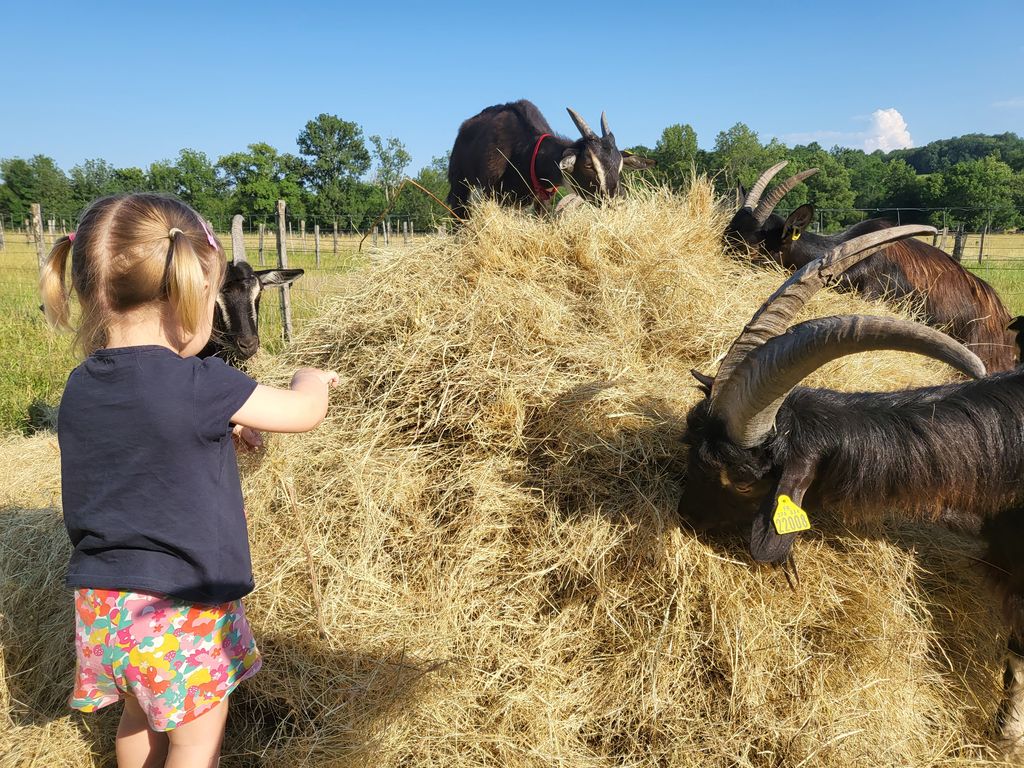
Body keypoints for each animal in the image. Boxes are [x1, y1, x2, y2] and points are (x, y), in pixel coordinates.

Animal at [444, 99, 651, 219]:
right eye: (588, 164)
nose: (617, 202)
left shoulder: (541, 201)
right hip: (460, 187)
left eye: (620, 165)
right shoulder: (490, 193)